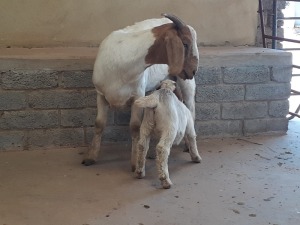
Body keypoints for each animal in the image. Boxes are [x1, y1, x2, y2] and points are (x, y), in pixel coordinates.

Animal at [82, 13, 199, 168]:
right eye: (185, 43)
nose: (194, 70)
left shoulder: (137, 96)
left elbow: (135, 127)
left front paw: (135, 161)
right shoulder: (100, 94)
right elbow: (99, 124)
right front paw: (91, 157)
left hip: (187, 83)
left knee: (190, 109)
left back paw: (188, 146)